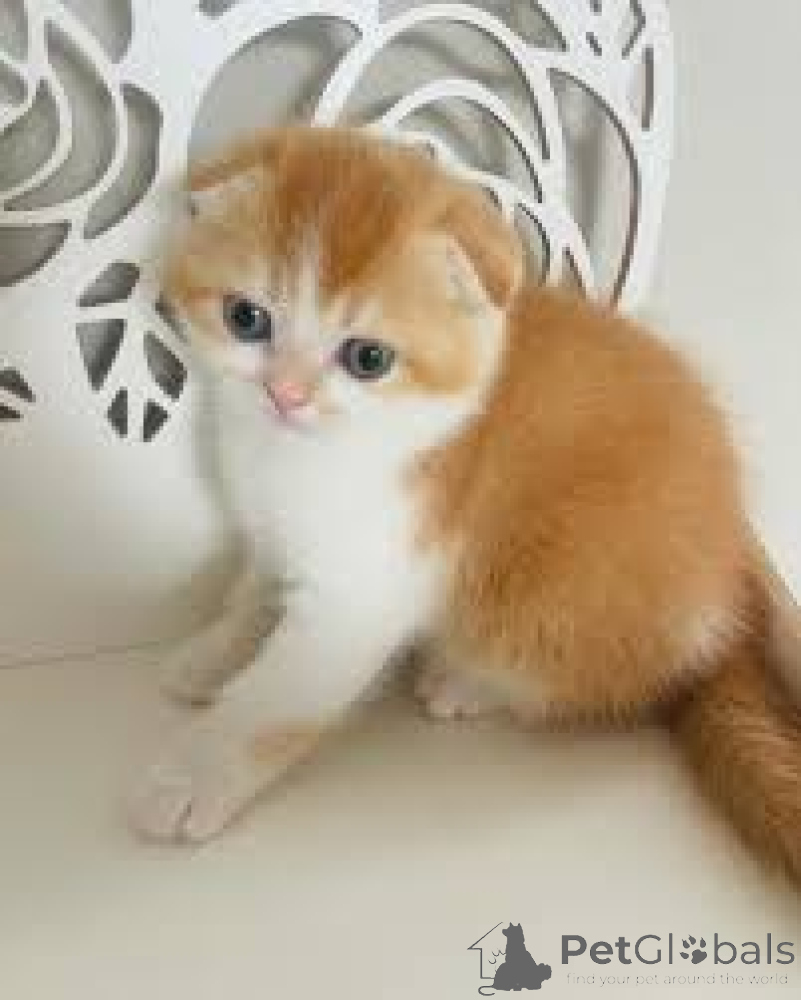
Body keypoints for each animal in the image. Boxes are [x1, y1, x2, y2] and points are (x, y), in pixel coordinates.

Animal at [129, 125, 801, 885]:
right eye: (247, 318)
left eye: (367, 359)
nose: (286, 394)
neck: (297, 455)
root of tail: (731, 602)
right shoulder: (277, 531)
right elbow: (254, 591)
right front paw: (214, 654)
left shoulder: (366, 587)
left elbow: (276, 702)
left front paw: (191, 776)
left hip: (561, 589)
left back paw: (466, 682)